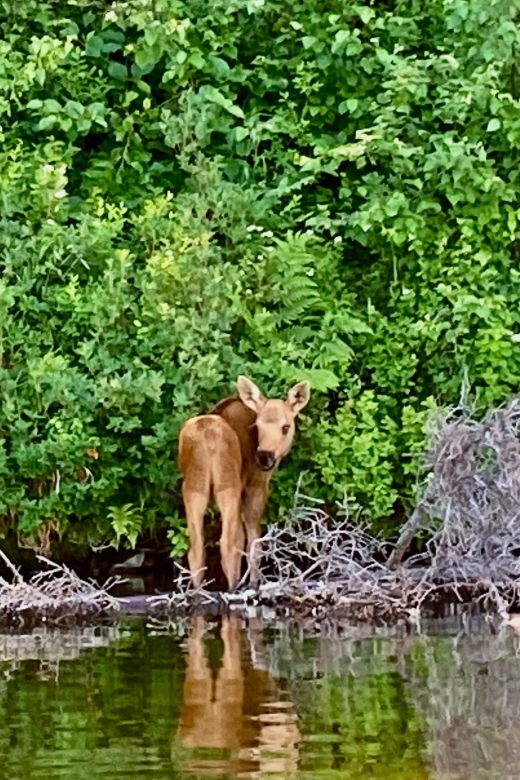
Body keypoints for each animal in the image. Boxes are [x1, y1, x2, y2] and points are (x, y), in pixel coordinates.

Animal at [179, 380, 308, 592]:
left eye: (285, 426)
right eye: (258, 426)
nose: (264, 456)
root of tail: (207, 439)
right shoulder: (255, 486)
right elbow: (253, 541)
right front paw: (253, 583)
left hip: (193, 488)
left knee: (196, 548)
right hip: (228, 486)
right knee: (228, 544)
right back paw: (234, 588)